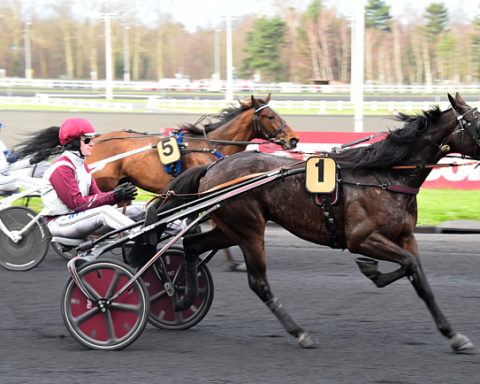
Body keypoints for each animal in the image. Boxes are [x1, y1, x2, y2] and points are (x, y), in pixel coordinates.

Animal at [144, 93, 478, 352]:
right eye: (477, 122)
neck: (385, 175)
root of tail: (213, 166)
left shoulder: (406, 237)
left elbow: (419, 277)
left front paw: (453, 335)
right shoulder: (362, 237)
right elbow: (407, 264)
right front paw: (371, 269)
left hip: (230, 228)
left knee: (191, 243)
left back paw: (182, 296)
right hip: (249, 228)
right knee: (258, 282)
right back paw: (300, 332)